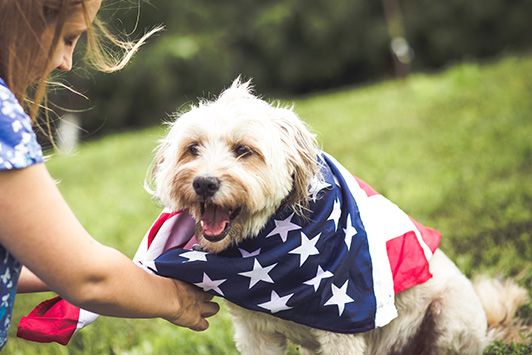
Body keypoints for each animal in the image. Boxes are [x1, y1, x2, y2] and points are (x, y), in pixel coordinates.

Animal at [148, 79, 528, 354]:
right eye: (192, 149)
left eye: (244, 150)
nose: (204, 182)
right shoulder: (255, 333)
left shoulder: (342, 326)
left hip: (450, 317)